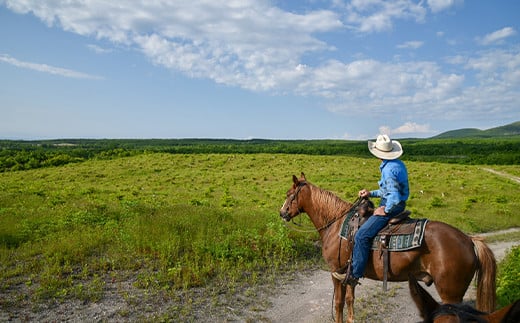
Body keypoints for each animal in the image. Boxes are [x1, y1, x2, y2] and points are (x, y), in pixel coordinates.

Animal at [280, 176, 496, 323]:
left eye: (289, 195)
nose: (282, 213)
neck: (336, 224)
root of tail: (469, 240)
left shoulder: (336, 271)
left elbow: (339, 303)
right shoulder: (350, 273)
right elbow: (350, 299)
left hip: (450, 294)